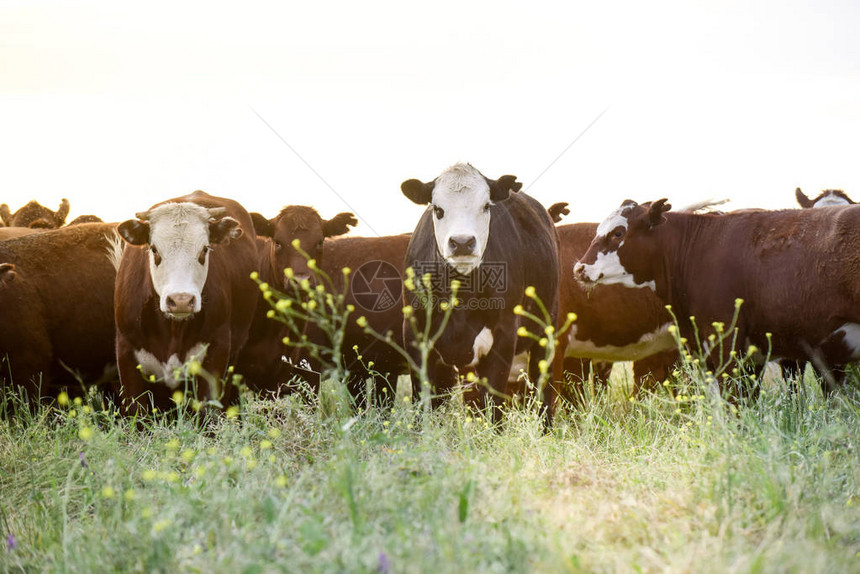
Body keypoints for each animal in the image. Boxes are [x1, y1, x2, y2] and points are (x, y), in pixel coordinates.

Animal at [113, 192, 258, 414]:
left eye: (205, 249)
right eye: (154, 249)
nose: (181, 300)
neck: (173, 330)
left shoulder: (217, 351)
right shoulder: (126, 353)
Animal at [400, 162, 560, 424]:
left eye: (486, 206)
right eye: (438, 209)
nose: (462, 242)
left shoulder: (504, 336)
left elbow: (493, 406)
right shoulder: (415, 334)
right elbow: (423, 402)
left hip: (546, 331)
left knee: (542, 393)